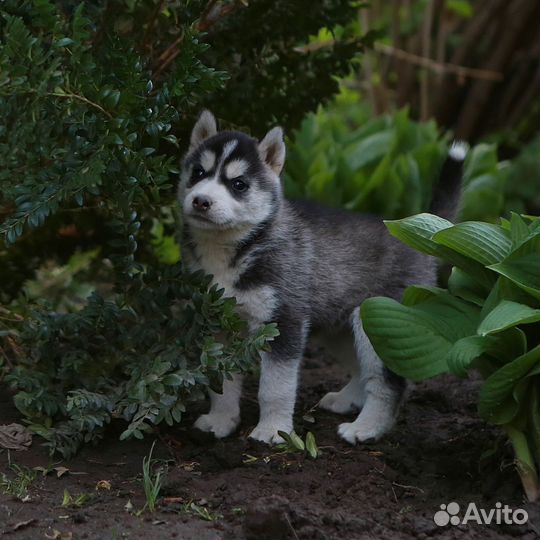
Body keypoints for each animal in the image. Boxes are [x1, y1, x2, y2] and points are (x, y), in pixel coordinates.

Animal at [177, 109, 464, 442]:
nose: (201, 201)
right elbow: (221, 383)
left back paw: (366, 427)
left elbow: (275, 387)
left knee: (388, 383)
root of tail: (413, 228)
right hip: (339, 324)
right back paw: (347, 399)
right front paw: (221, 420)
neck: (233, 249)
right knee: (361, 369)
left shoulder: (284, 321)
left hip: (381, 324)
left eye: (238, 184)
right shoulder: (218, 325)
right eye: (198, 173)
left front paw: (273, 430)